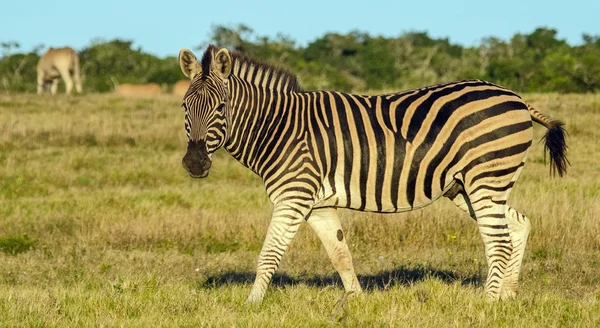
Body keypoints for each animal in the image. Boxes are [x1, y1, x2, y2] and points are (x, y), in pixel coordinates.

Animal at [177, 44, 568, 304]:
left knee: (499, 240)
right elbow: (340, 253)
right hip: (468, 186)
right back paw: (507, 297)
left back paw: (486, 304)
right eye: (184, 106)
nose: (195, 163)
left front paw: (252, 305)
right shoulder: (318, 204)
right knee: (518, 226)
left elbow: (269, 254)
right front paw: (358, 302)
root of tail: (516, 97)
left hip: (486, 179)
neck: (278, 128)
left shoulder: (293, 196)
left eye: (221, 107)